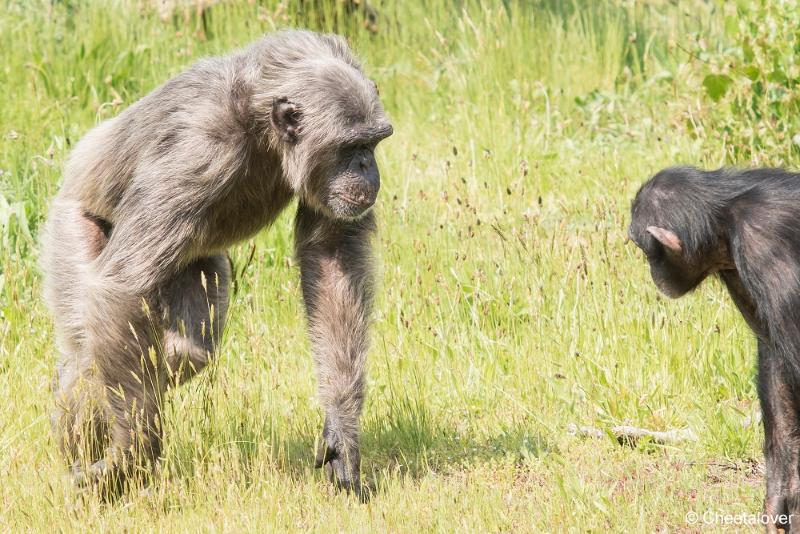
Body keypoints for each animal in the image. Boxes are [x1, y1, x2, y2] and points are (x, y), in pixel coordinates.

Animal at [42, 29, 392, 498]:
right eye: (351, 146)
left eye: (373, 141)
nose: (367, 165)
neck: (261, 127)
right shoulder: (196, 153)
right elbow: (122, 285)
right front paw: (132, 455)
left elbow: (333, 249)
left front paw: (342, 431)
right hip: (72, 225)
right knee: (89, 348)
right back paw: (82, 467)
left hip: (198, 267)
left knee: (187, 350)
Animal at [632, 166, 800, 532]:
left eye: (647, 251)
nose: (651, 271)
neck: (724, 215)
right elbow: (774, 354)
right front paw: (779, 497)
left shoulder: (761, 245)